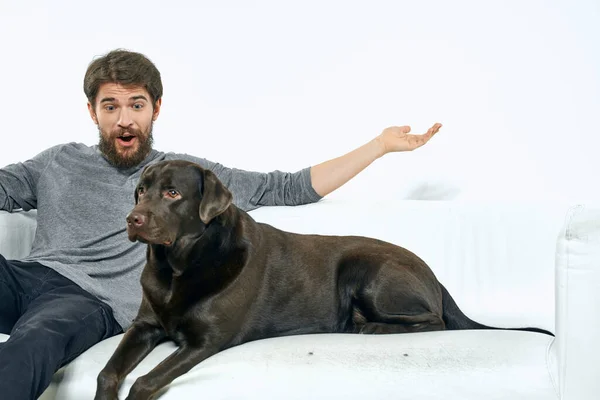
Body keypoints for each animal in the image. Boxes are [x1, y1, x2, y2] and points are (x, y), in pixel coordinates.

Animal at [95, 160, 552, 400]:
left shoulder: (205, 342)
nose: (132, 219)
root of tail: (435, 276)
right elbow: (107, 373)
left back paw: (372, 328)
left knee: (434, 321)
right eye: (141, 191)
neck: (177, 269)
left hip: (366, 270)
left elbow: (145, 381)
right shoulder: (144, 326)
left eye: (173, 193)